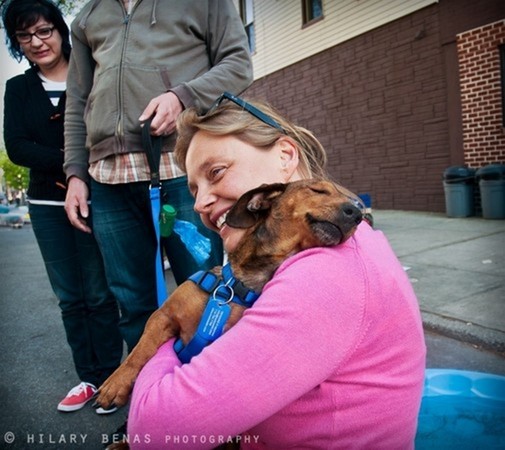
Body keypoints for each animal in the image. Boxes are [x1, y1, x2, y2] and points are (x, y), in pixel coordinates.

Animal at [95, 178, 362, 412]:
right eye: (318, 190)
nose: (358, 214)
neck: (235, 287)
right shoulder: (163, 316)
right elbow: (140, 350)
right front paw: (115, 383)